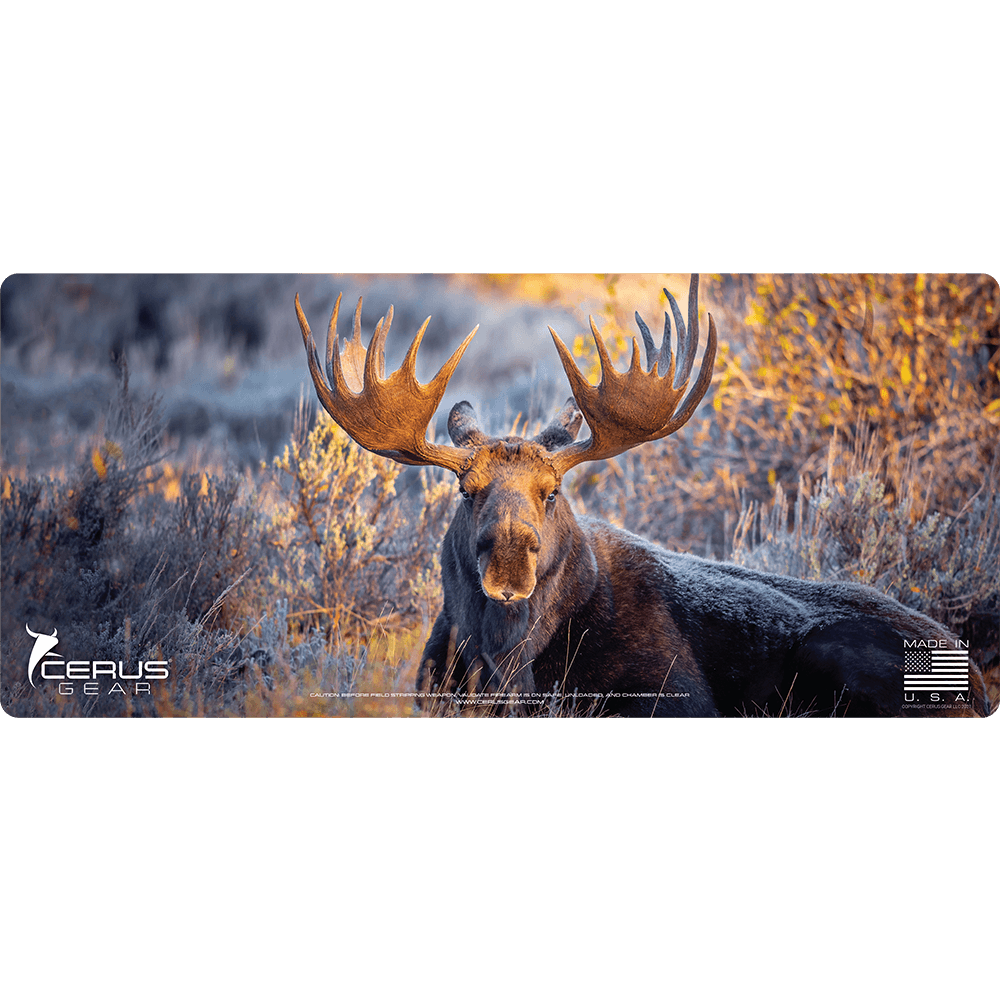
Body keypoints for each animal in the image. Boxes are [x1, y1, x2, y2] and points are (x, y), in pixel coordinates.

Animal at [295, 276, 990, 718]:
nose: (510, 567)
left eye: (553, 492)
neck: (510, 660)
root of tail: (981, 689)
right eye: (467, 490)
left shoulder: (678, 697)